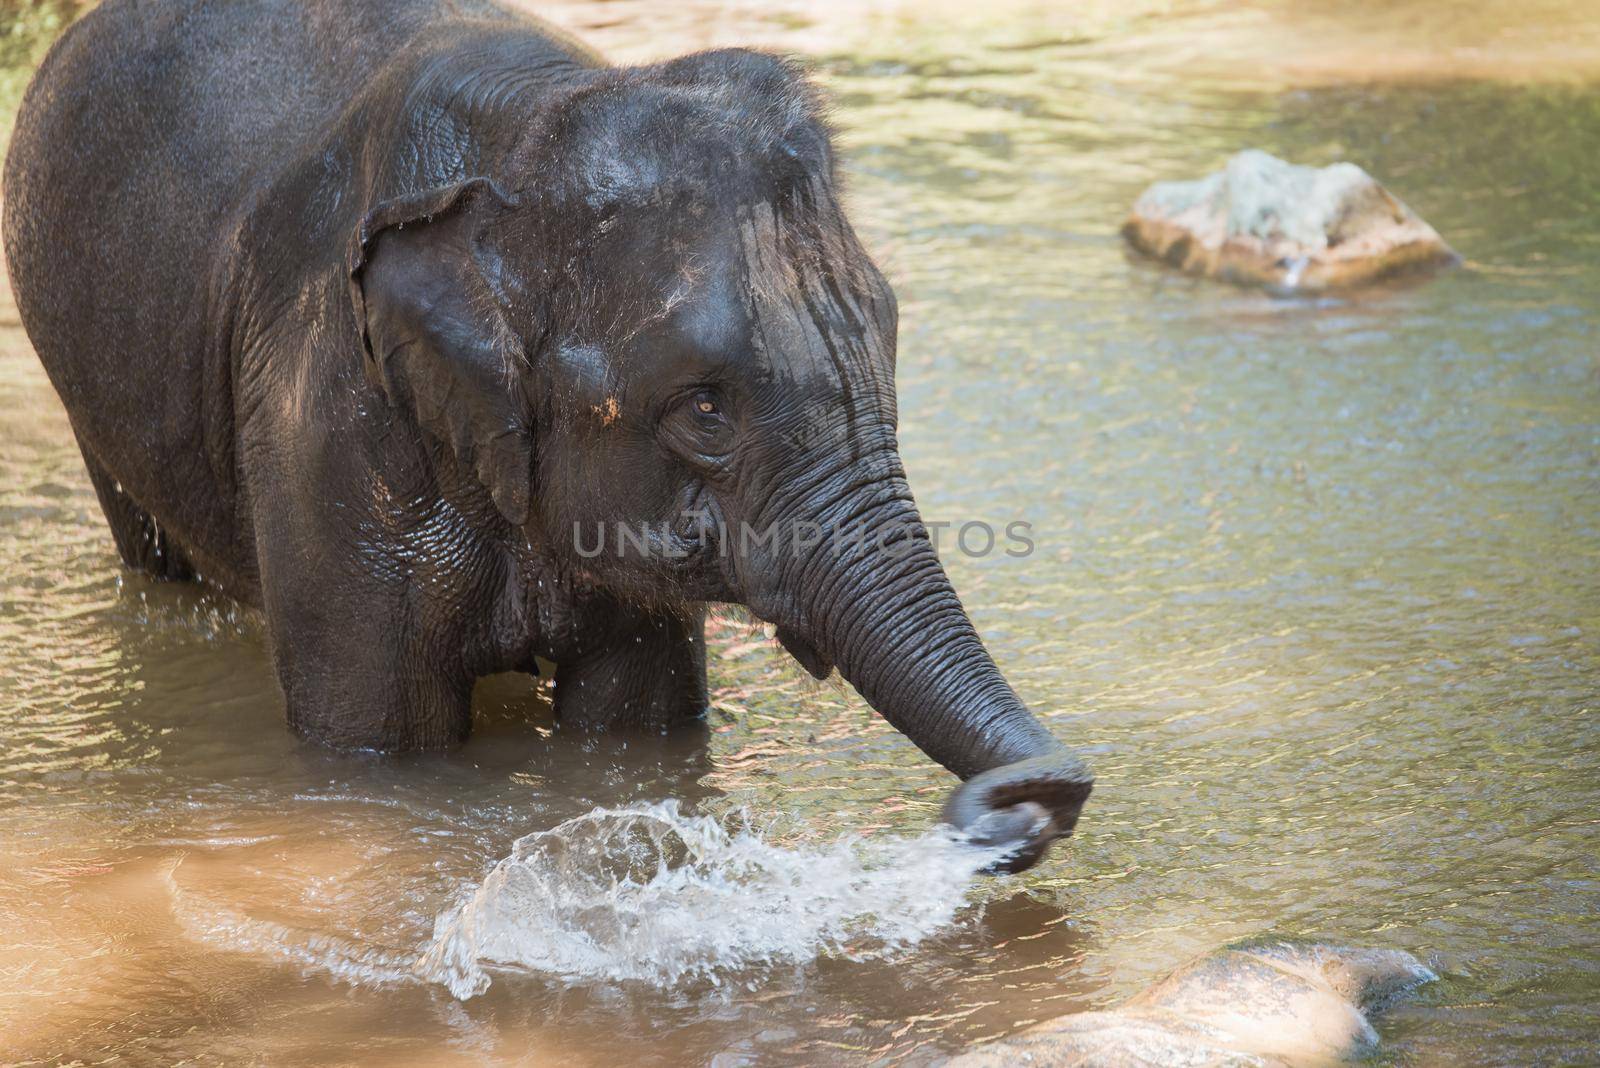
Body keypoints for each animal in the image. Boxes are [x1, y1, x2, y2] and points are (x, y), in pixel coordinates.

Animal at [0, 0, 1094, 869]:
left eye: (890, 338)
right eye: (706, 408)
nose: (1022, 809)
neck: (531, 129)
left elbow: (633, 723)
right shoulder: (327, 429)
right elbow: (377, 743)